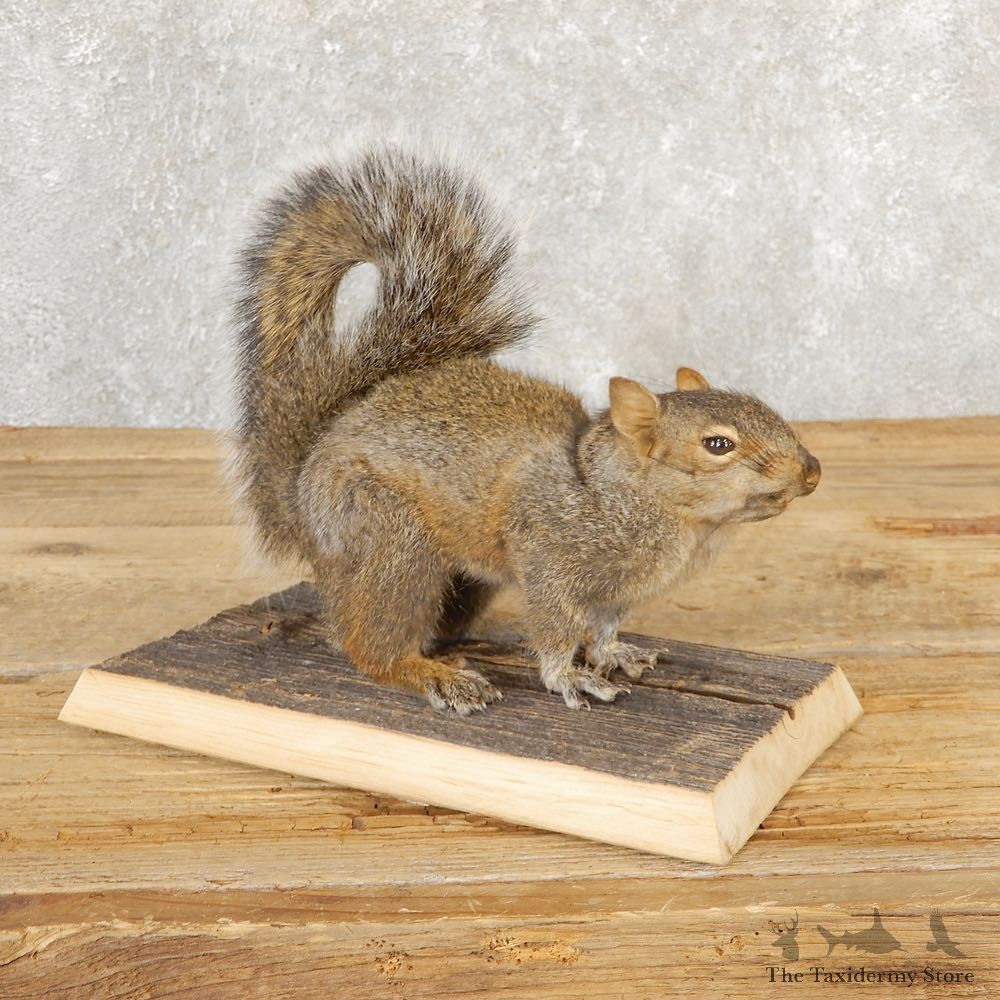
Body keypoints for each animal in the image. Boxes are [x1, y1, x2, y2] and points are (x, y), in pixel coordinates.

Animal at [229, 146, 821, 714]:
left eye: (762, 405)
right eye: (718, 444)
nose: (812, 472)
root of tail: (301, 503)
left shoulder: (618, 592)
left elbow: (603, 628)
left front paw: (614, 654)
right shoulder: (548, 559)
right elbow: (556, 627)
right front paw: (568, 677)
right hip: (389, 538)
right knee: (368, 643)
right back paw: (432, 675)